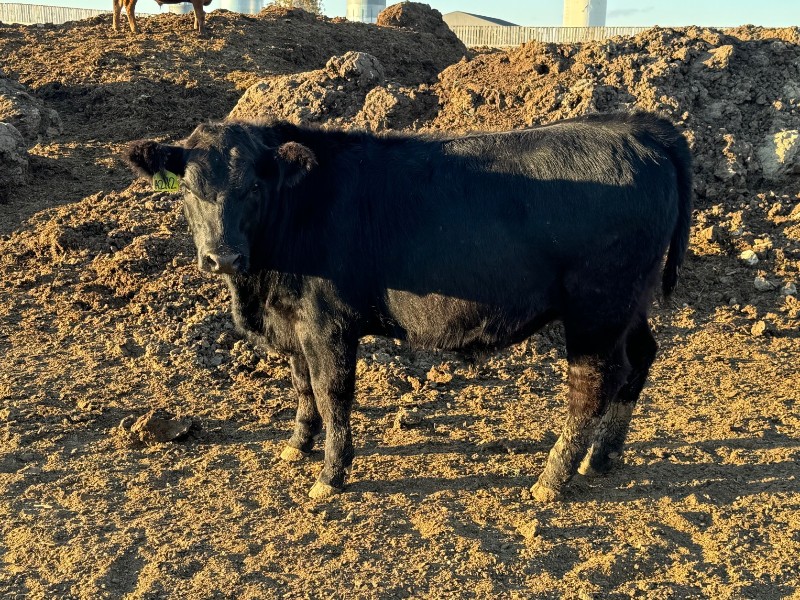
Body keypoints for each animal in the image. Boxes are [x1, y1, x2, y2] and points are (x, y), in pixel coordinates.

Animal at [124, 112, 692, 501]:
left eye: (253, 187)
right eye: (190, 189)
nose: (222, 256)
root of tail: (637, 126)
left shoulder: (327, 324)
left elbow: (332, 394)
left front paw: (330, 475)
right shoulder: (294, 322)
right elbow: (303, 386)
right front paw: (297, 445)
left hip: (597, 306)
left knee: (592, 383)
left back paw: (552, 478)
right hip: (629, 304)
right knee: (639, 359)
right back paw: (603, 456)